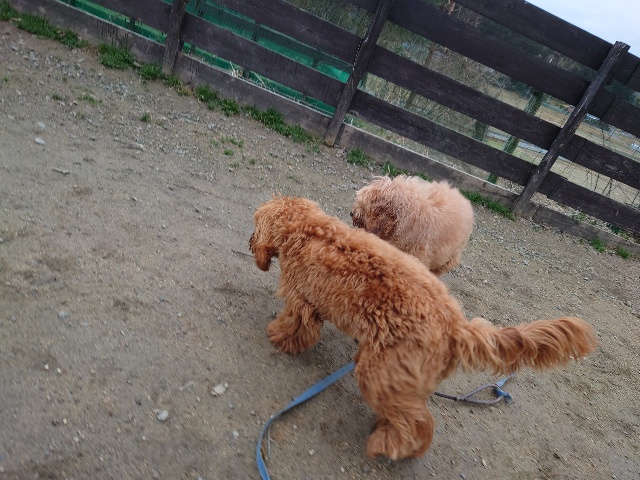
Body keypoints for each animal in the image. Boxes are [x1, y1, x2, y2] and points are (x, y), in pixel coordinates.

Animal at [249, 196, 597, 460]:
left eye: (254, 225)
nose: (250, 242)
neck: (305, 229)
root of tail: (456, 327)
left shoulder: (301, 300)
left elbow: (295, 327)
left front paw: (278, 337)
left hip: (379, 373)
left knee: (416, 424)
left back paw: (391, 445)